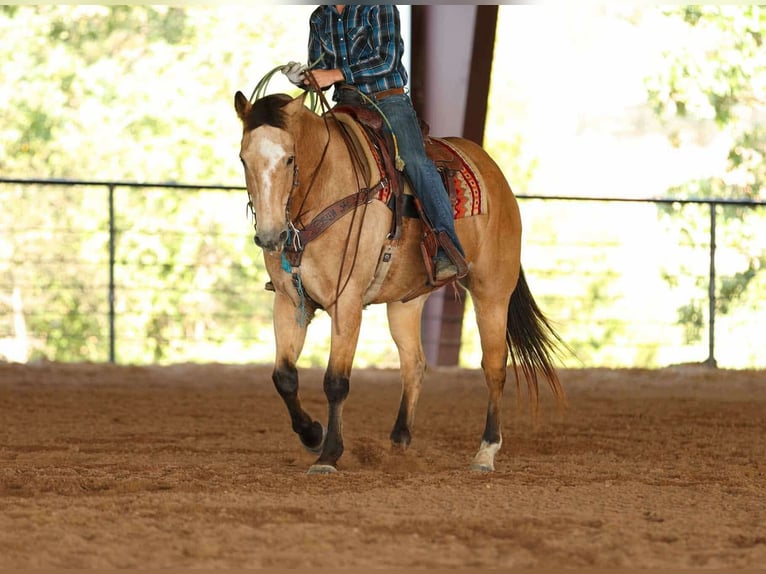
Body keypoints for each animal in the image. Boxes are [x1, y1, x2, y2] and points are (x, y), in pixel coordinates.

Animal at [234, 89, 565, 474]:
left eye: (289, 159)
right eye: (243, 159)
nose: (269, 236)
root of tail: (496, 175)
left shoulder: (347, 301)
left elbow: (336, 382)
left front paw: (329, 454)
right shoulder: (289, 300)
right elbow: (284, 377)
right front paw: (312, 434)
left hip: (492, 294)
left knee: (494, 367)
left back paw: (485, 452)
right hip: (405, 303)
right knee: (414, 364)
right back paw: (399, 440)